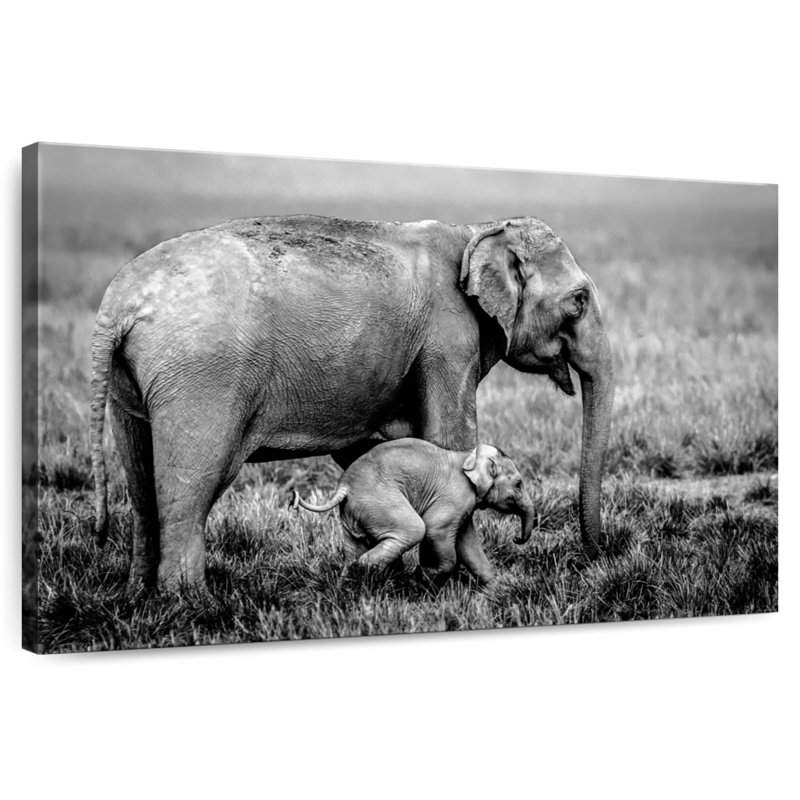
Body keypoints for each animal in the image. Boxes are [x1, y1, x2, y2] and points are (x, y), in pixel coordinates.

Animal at [292, 438, 536, 585]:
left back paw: (349, 589)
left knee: (353, 549)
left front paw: (495, 588)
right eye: (518, 484)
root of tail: (344, 487)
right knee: (414, 529)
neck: (469, 455)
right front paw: (424, 577)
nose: (517, 539)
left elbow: (467, 542)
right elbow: (436, 529)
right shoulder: (456, 495)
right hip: (380, 500)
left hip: (354, 512)